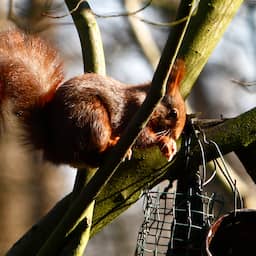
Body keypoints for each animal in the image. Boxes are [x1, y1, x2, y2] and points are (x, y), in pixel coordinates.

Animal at [0, 29, 186, 168]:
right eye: (173, 113)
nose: (177, 134)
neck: (148, 99)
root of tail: (53, 145)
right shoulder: (135, 113)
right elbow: (142, 137)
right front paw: (165, 141)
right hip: (91, 118)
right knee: (93, 148)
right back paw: (112, 147)